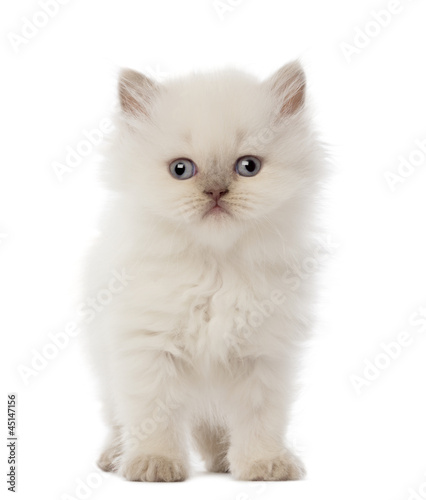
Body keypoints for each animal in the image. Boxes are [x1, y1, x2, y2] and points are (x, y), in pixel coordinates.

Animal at [81, 60, 324, 482]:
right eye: (181, 170)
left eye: (248, 167)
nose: (215, 192)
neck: (215, 270)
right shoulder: (148, 348)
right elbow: (153, 415)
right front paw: (154, 464)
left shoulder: (262, 355)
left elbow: (260, 418)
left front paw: (263, 464)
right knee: (116, 420)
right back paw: (115, 458)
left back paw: (221, 461)